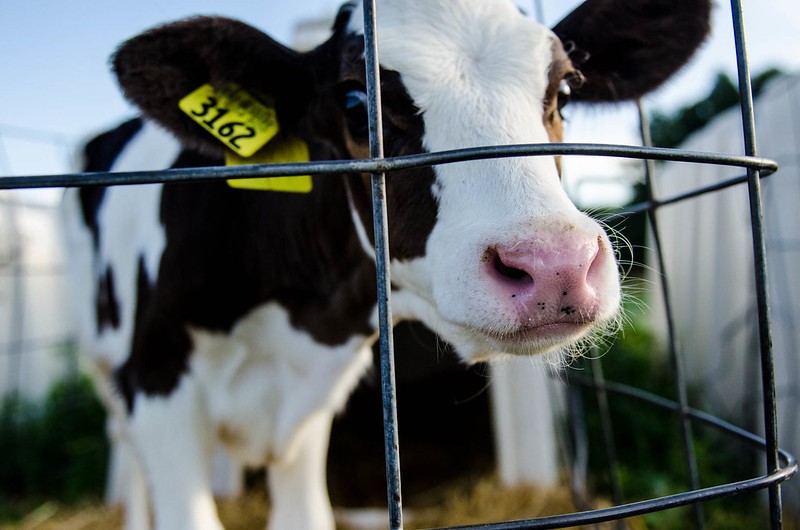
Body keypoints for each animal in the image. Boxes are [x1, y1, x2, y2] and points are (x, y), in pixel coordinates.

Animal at [65, 1, 708, 528]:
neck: (300, 319)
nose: (556, 265)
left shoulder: (308, 411)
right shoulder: (157, 384)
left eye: (566, 92)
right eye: (355, 105)